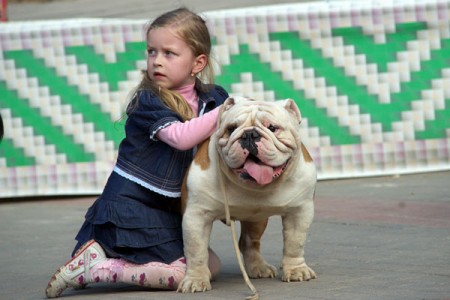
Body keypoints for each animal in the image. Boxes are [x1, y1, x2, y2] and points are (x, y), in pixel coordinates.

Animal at [176, 96, 316, 292]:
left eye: (272, 128)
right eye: (231, 129)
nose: (249, 134)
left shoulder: (300, 211)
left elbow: (295, 242)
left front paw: (296, 270)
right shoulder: (197, 215)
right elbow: (196, 249)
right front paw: (195, 279)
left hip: (256, 219)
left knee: (249, 242)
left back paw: (259, 267)